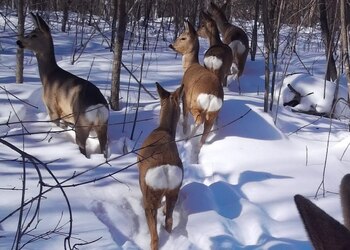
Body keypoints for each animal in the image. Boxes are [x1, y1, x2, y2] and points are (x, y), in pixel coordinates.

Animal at [16, 13, 108, 158]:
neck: (49, 76)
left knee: (82, 147)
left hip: (81, 123)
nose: (19, 42)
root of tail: (98, 107)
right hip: (103, 125)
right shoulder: (65, 115)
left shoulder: (52, 108)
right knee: (104, 149)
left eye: (34, 35)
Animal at [138, 82, 185, 250]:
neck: (164, 129)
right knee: (169, 221)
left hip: (149, 197)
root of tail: (165, 170)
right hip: (174, 190)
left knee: (155, 237)